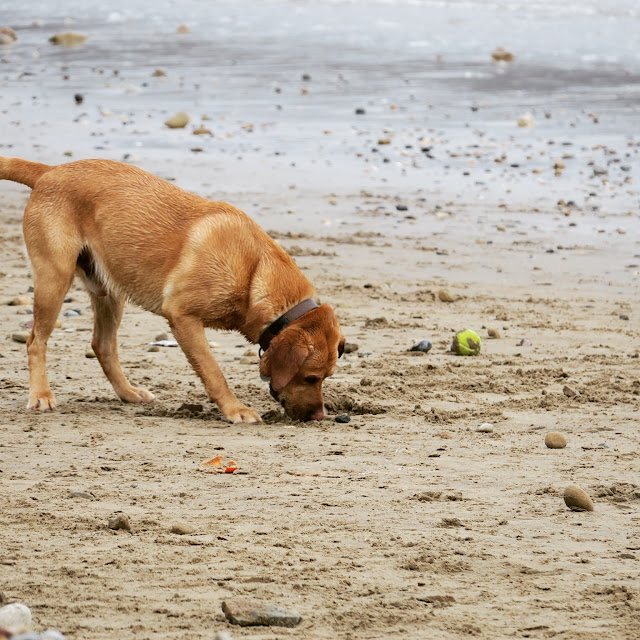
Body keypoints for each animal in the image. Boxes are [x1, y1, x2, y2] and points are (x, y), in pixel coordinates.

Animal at [0, 156, 345, 422]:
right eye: (311, 377)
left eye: (325, 378)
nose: (319, 416)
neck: (254, 272)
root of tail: (50, 170)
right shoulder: (182, 316)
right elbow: (214, 373)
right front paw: (235, 410)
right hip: (54, 278)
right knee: (36, 340)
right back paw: (41, 394)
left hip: (109, 291)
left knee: (103, 345)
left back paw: (128, 393)